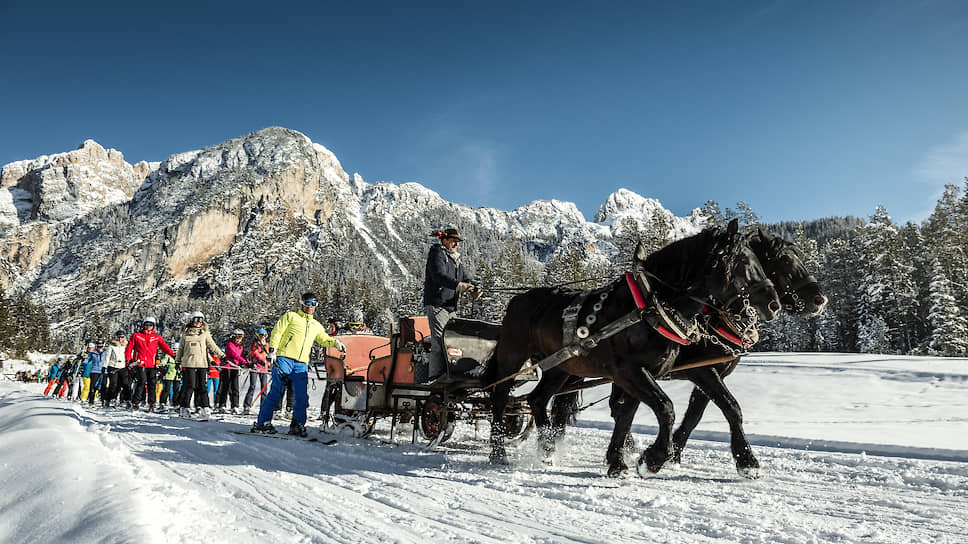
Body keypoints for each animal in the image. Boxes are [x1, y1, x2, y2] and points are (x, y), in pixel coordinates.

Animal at [488, 219, 784, 474]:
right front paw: (654, 458)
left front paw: (619, 462)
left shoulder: (655, 372)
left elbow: (632, 414)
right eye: (744, 262)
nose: (774, 305)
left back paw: (547, 447)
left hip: (561, 366)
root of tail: (517, 299)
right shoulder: (632, 371)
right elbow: (666, 408)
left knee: (538, 399)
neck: (650, 306)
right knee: (500, 396)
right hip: (512, 357)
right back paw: (498, 451)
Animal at [560, 227, 824, 478]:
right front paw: (744, 461)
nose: (819, 300)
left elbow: (701, 413)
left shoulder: (711, 373)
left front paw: (672, 453)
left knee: (614, 406)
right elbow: (724, 409)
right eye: (784, 260)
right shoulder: (701, 370)